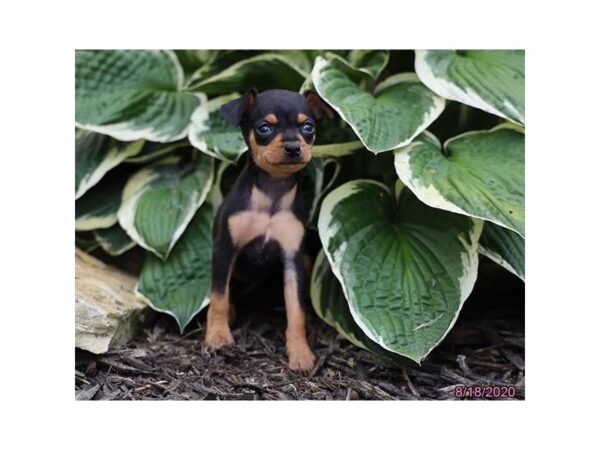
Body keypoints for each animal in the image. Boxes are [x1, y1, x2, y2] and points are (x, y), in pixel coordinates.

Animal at [204, 89, 336, 372]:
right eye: (264, 128)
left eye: (308, 127)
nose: (293, 147)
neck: (272, 192)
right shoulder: (225, 249)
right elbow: (219, 296)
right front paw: (218, 336)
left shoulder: (292, 258)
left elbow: (296, 310)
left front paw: (300, 352)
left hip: (306, 260)